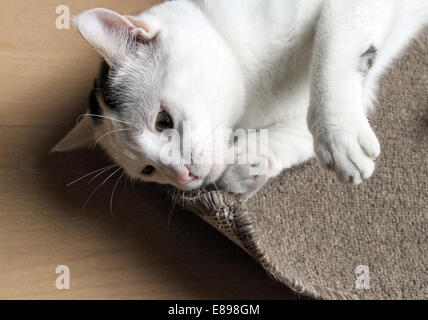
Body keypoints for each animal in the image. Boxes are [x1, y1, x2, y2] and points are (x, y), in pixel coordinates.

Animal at [53, 0, 428, 198]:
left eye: (163, 121)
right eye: (149, 170)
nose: (183, 176)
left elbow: (331, 46)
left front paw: (339, 137)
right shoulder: (359, 96)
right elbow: (298, 134)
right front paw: (247, 163)